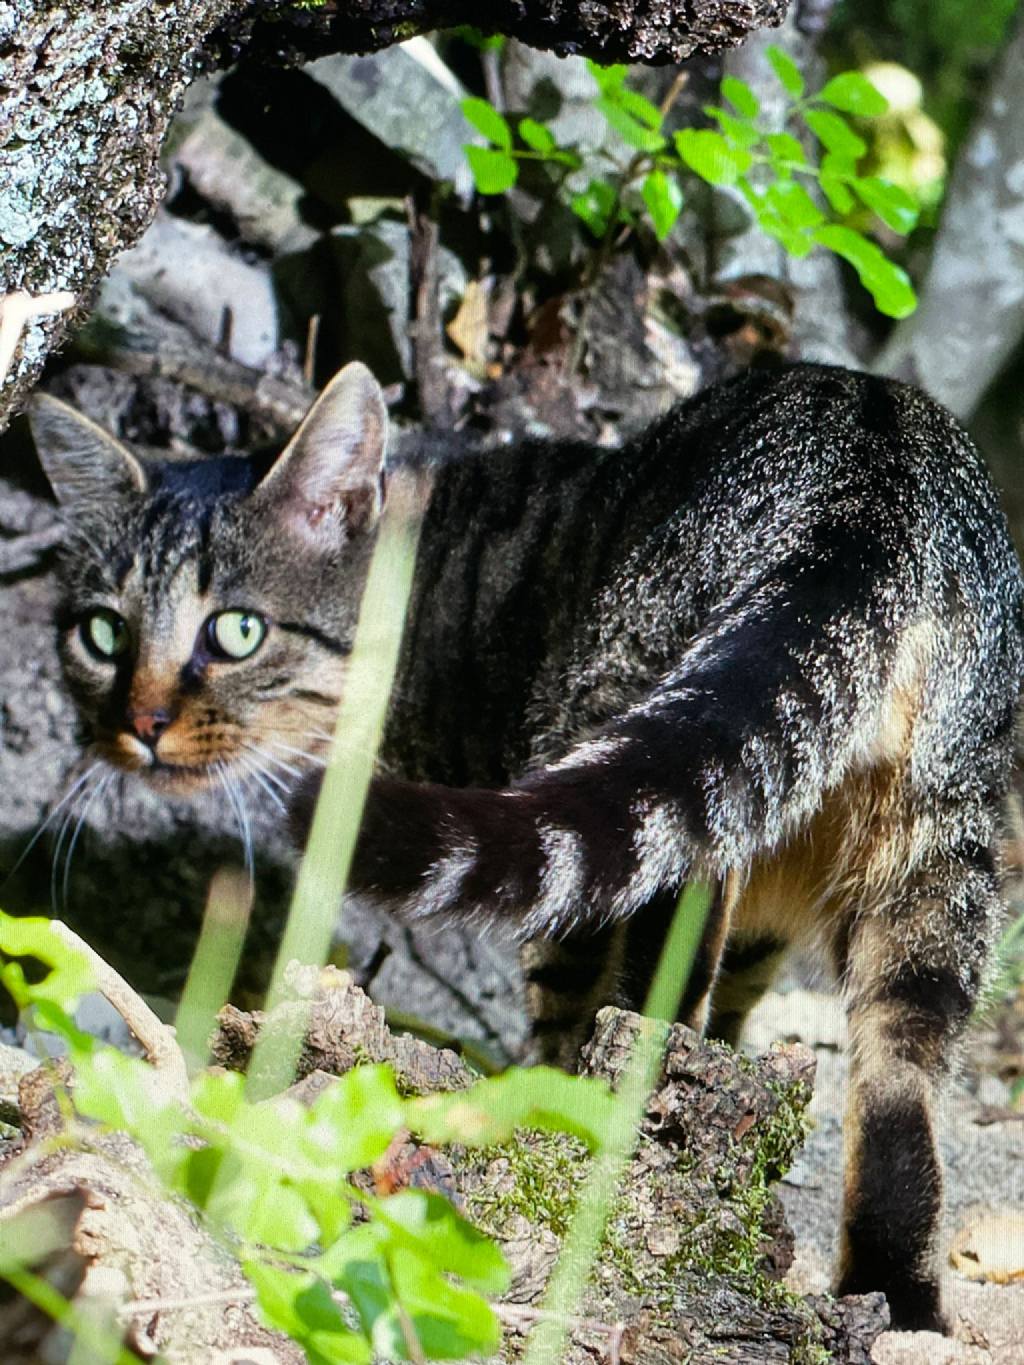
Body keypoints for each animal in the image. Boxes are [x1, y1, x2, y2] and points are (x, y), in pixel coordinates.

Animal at [30, 363, 1024, 1332]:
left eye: (237, 631)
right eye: (102, 634)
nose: (140, 723)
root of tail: (870, 486)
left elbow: (568, 994)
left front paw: (553, 1096)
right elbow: (739, 1005)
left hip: (647, 737)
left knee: (662, 971)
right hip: (936, 853)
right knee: (897, 1080)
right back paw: (893, 1302)